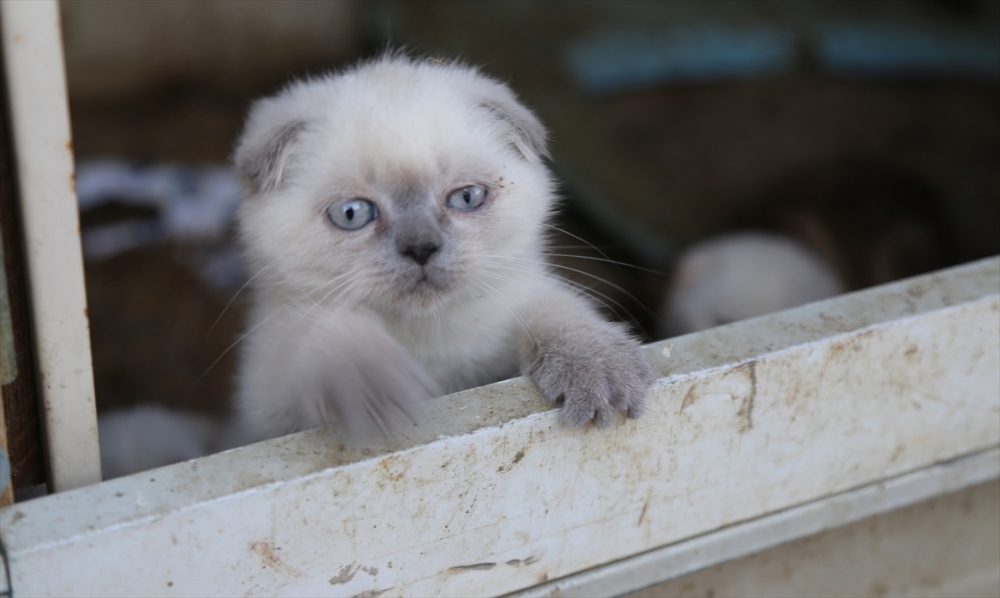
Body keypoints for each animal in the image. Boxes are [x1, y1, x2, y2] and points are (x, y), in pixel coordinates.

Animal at [233, 55, 656, 440]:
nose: (421, 248)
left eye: (466, 197)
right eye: (352, 214)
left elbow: (555, 308)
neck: (430, 336)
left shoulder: (513, 305)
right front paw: (376, 386)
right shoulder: (266, 402)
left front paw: (599, 370)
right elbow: (320, 333)